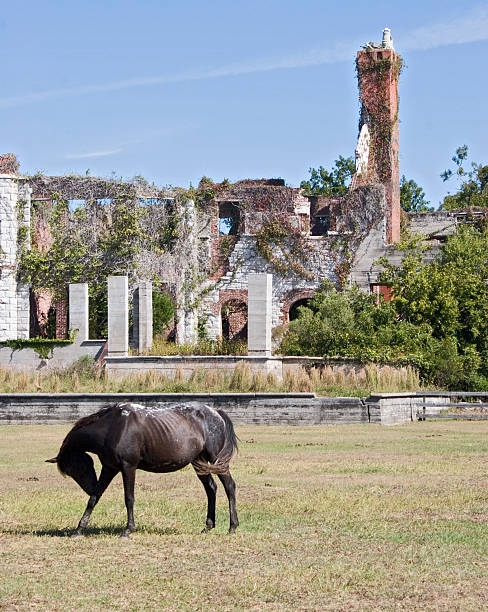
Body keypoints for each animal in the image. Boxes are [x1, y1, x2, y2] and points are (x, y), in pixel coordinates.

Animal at [44, 404, 239, 536]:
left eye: (78, 468)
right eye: (72, 472)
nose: (89, 486)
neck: (114, 427)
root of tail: (216, 413)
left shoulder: (128, 467)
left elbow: (129, 498)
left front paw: (128, 529)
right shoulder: (109, 468)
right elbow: (94, 498)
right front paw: (79, 529)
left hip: (216, 460)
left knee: (229, 486)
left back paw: (232, 526)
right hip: (199, 462)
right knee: (211, 489)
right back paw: (208, 526)